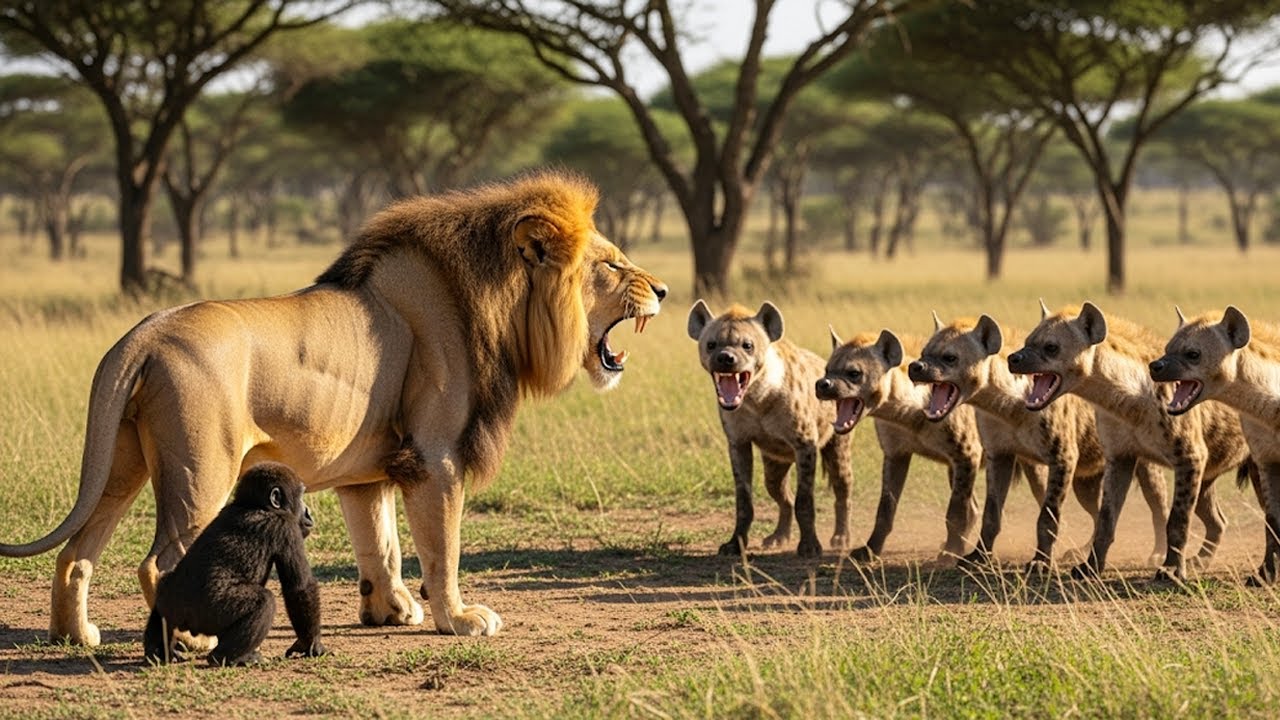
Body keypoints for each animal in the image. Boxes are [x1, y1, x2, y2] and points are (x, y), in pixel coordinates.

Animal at [0, 170, 668, 645]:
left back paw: (74, 637)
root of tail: (145, 332)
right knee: (158, 563)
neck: (492, 303)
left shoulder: (370, 468)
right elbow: (441, 546)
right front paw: (458, 618)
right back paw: (191, 639)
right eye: (610, 263)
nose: (662, 289)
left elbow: (380, 542)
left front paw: (390, 609)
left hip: (125, 463)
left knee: (75, 555)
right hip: (201, 468)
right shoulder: (435, 456)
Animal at [143, 462, 327, 666]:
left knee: (163, 589)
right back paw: (224, 657)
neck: (253, 505)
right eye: (301, 496)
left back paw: (157, 650)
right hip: (207, 610)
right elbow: (299, 587)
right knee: (264, 602)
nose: (308, 512)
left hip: (171, 599)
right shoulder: (286, 527)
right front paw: (310, 643)